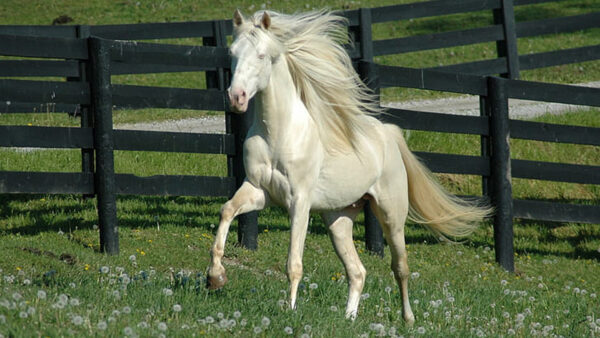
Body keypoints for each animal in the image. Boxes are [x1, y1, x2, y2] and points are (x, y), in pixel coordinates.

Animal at [207, 9, 492, 324]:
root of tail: (388, 135)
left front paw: (290, 310)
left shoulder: (299, 202)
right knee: (357, 271)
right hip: (338, 220)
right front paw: (215, 277)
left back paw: (408, 318)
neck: (279, 134)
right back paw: (349, 318)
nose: (236, 97)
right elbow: (227, 211)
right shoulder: (259, 191)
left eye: (261, 55)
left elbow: (294, 262)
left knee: (400, 268)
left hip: (391, 216)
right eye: (232, 53)